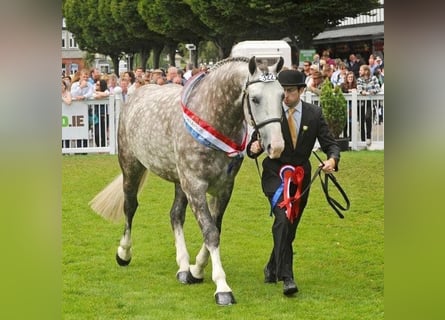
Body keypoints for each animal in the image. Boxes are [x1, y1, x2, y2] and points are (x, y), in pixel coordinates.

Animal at [90, 56, 284, 306]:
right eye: (255, 98)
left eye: (282, 95)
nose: (276, 146)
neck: (212, 117)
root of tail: (136, 94)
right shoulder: (195, 186)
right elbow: (210, 232)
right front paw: (222, 287)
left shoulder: (223, 188)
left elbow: (215, 228)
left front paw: (196, 270)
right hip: (132, 167)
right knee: (130, 207)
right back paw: (124, 253)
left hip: (178, 181)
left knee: (175, 215)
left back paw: (183, 267)